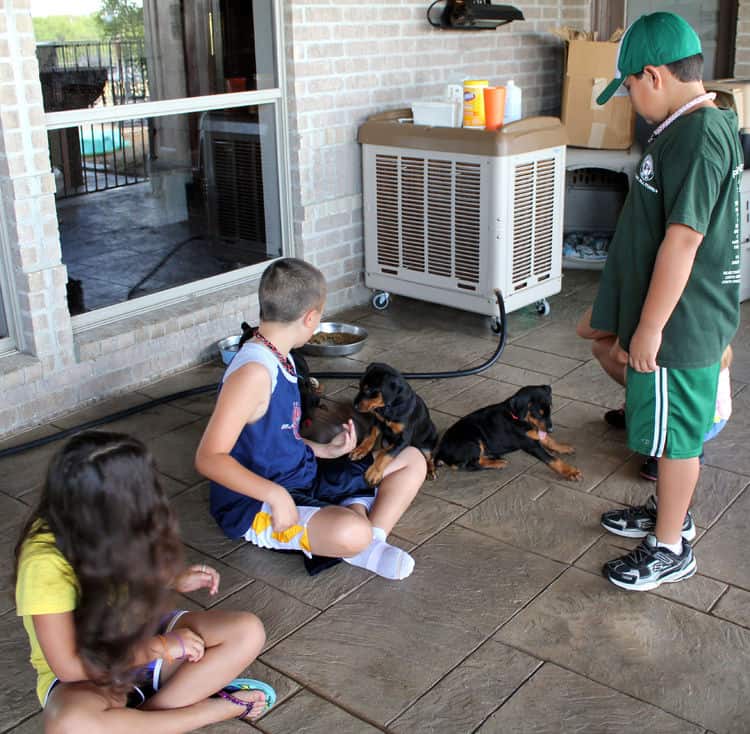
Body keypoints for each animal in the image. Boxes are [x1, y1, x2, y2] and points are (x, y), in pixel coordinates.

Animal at [438, 386, 584, 484]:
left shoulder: (535, 433)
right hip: (472, 442)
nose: (551, 429)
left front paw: (563, 447)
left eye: (550, 411)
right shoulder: (530, 444)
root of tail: (440, 452)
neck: (515, 416)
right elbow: (552, 459)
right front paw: (570, 472)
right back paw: (498, 463)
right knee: (470, 465)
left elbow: (549, 440)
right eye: (538, 413)